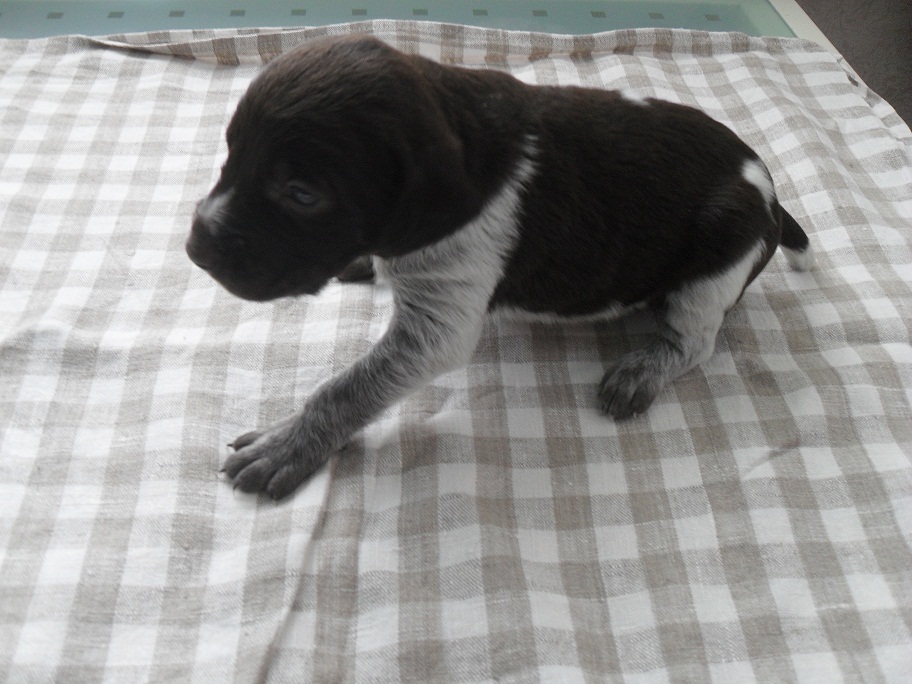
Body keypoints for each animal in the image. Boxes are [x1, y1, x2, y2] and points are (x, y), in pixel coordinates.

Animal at [186, 35, 814, 499]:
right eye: (230, 154)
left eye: (301, 194)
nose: (194, 250)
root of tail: (768, 190)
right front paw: (368, 260)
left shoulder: (437, 323)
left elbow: (344, 389)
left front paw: (291, 443)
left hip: (718, 254)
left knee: (695, 342)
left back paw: (644, 370)